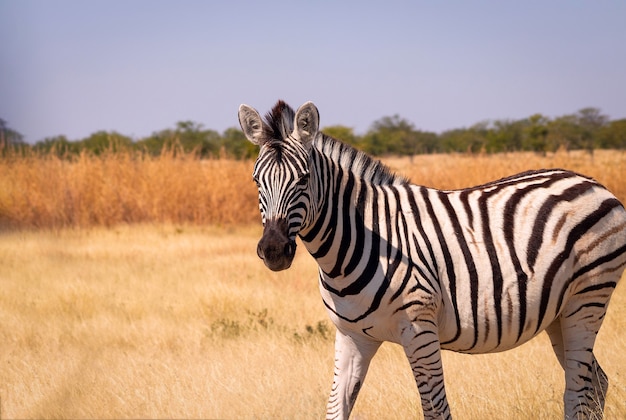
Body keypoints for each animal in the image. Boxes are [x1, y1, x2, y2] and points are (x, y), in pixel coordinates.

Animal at [236, 100, 620, 418]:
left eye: (303, 179)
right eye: (255, 181)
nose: (273, 251)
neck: (355, 244)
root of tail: (591, 182)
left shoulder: (419, 329)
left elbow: (436, 411)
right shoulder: (351, 335)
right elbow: (335, 408)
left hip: (588, 298)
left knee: (578, 391)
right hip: (559, 311)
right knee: (596, 382)